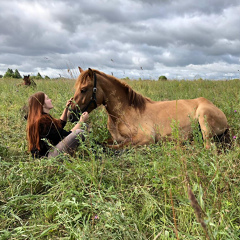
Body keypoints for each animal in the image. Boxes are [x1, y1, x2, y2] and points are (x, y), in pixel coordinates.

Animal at [70, 67, 231, 149]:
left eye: (83, 89)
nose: (71, 114)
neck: (126, 113)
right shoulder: (116, 138)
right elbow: (107, 143)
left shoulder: (145, 138)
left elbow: (114, 147)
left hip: (204, 119)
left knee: (208, 147)